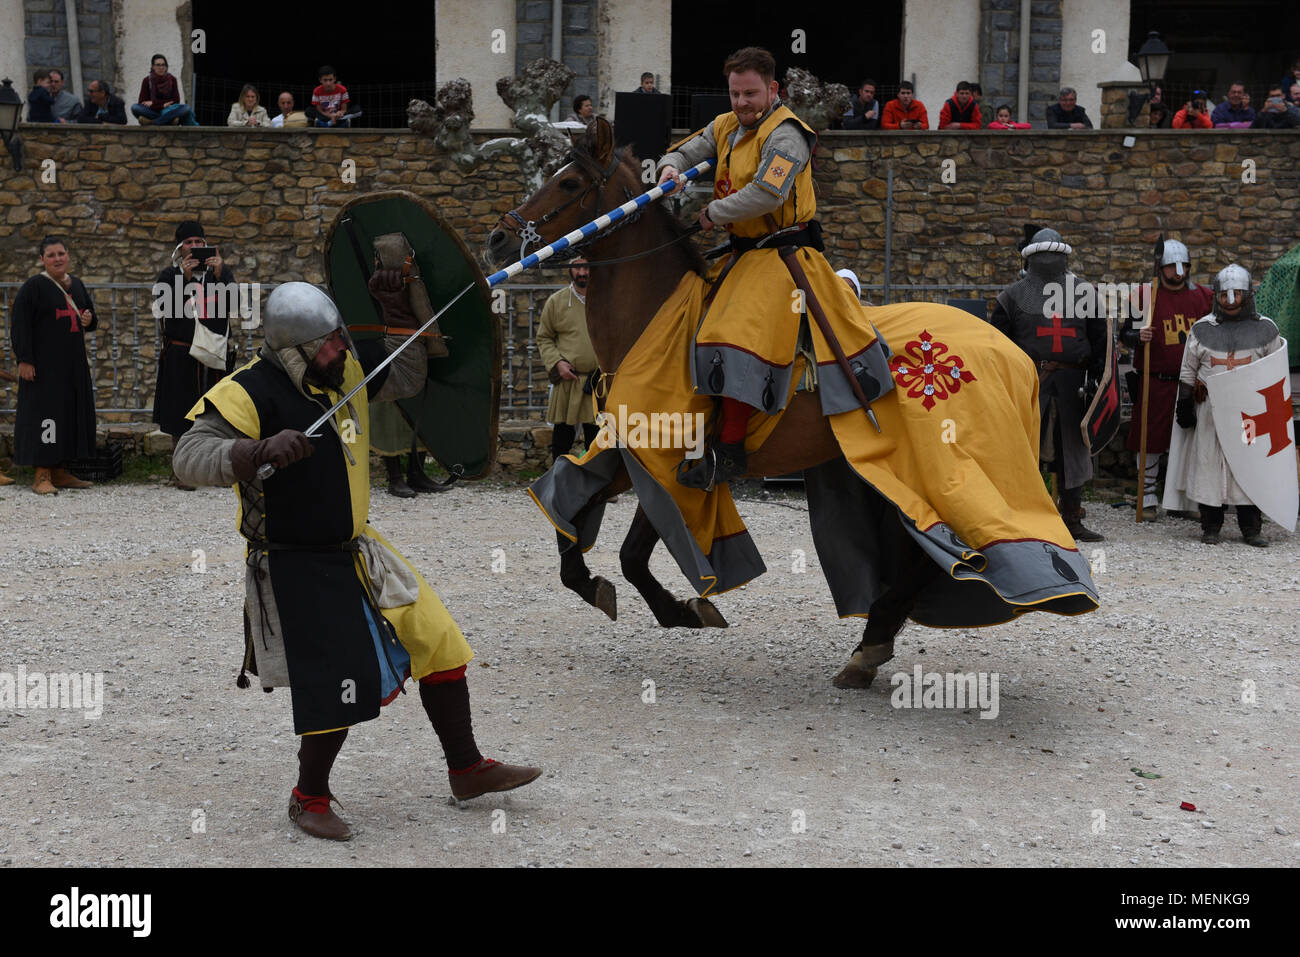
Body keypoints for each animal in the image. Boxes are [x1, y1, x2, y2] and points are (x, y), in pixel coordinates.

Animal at [483, 117, 930, 686]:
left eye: (569, 183)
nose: (498, 237)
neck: (653, 317)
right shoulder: (622, 454)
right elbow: (568, 525)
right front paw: (594, 585)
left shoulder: (667, 465)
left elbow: (631, 555)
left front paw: (685, 610)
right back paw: (871, 646)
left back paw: (870, 646)